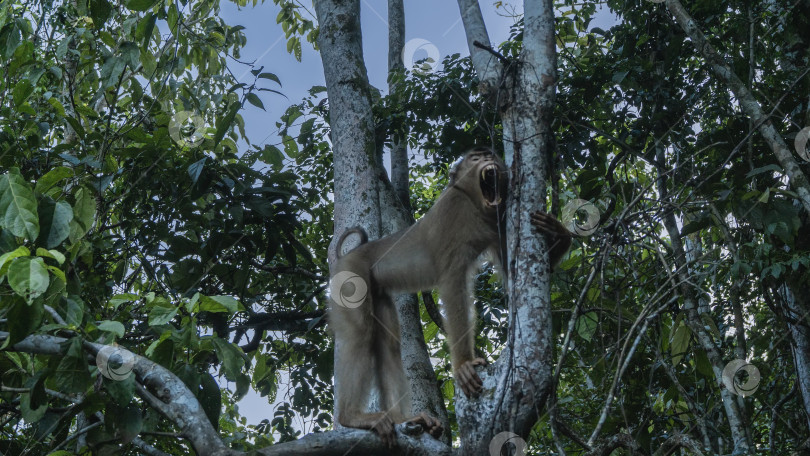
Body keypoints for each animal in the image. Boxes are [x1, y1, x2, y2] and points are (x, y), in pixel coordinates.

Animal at [326, 147, 568, 446]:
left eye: (489, 154)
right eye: (476, 158)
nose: (488, 160)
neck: (473, 204)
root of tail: (346, 257)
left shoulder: (499, 222)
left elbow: (514, 272)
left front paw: (560, 233)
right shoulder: (453, 212)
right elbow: (453, 283)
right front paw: (464, 364)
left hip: (376, 290)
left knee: (388, 343)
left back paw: (404, 419)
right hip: (350, 277)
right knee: (361, 333)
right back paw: (352, 417)